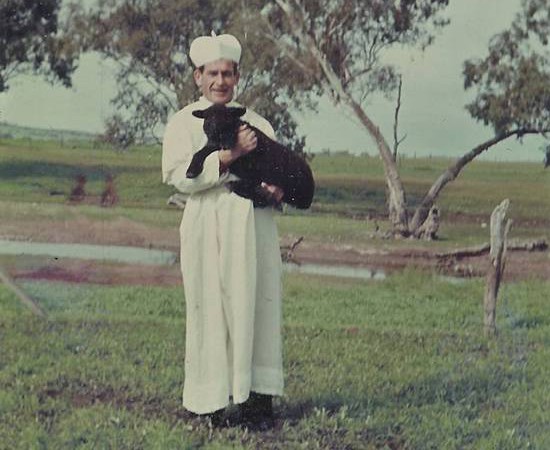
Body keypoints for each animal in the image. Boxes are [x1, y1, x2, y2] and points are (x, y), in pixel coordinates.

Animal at [185, 104, 314, 210]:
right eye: (207, 117)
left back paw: (238, 186)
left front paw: (229, 140)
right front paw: (191, 171)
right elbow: (200, 152)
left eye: (227, 117)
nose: (214, 129)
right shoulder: (213, 145)